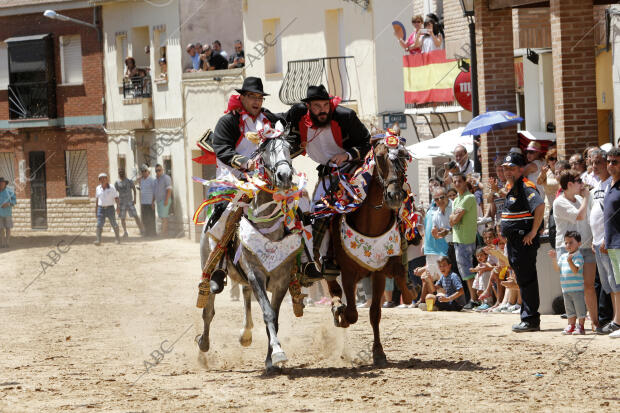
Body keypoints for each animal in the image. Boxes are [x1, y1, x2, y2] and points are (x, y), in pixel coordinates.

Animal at [326, 135, 414, 364]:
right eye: (380, 157)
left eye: (403, 156)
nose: (395, 195)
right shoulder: (348, 274)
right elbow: (352, 314)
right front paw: (342, 314)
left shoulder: (379, 272)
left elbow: (375, 312)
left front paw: (378, 352)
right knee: (332, 286)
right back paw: (337, 307)